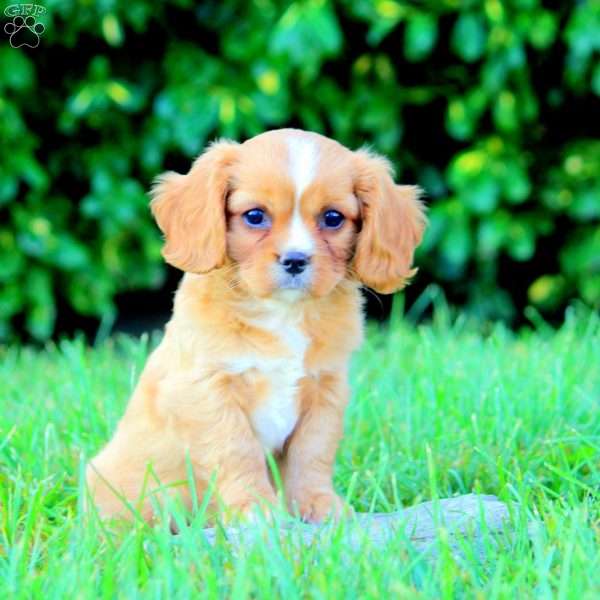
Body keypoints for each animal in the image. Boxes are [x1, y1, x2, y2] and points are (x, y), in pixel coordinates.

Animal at [86, 129, 426, 524]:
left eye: (332, 218)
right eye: (254, 216)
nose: (295, 260)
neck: (283, 312)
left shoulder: (326, 390)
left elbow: (312, 453)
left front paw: (318, 504)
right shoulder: (208, 391)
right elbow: (237, 452)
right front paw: (256, 511)